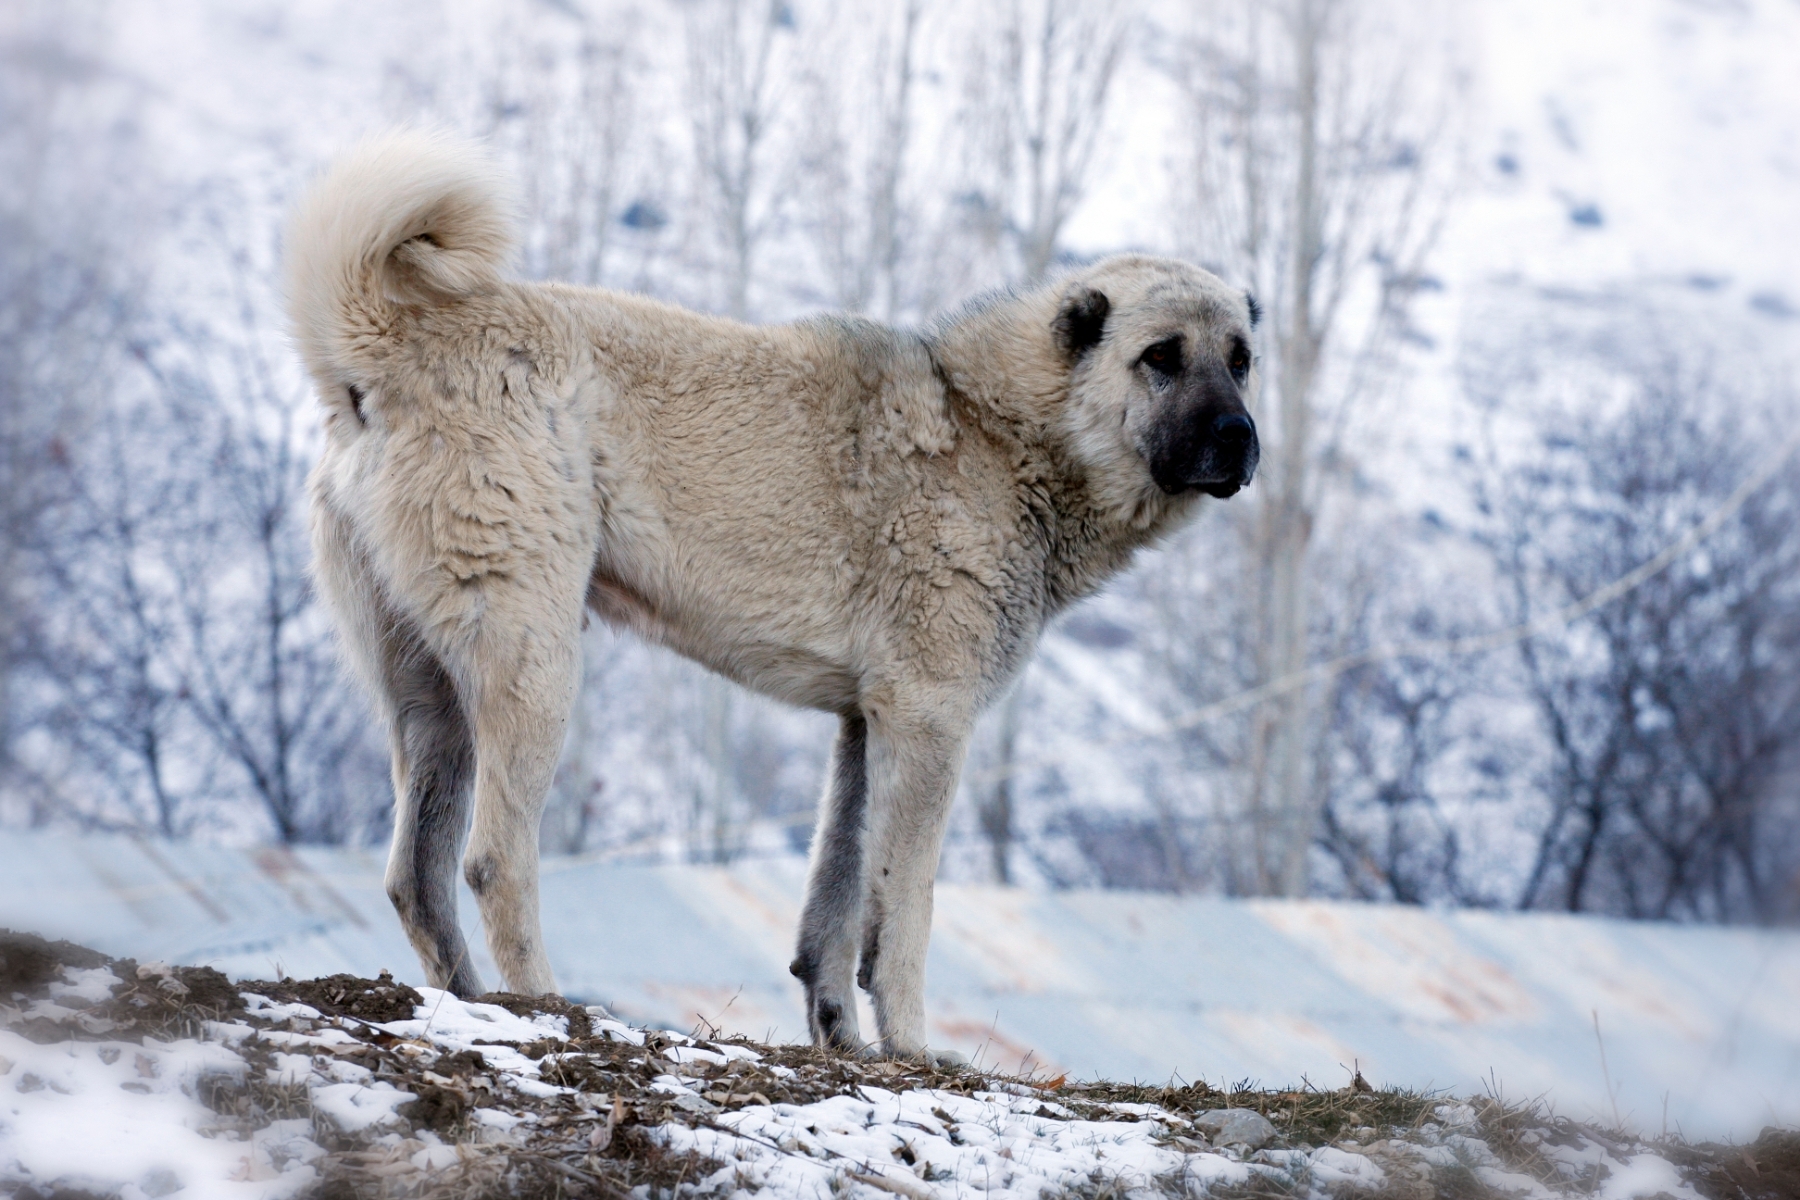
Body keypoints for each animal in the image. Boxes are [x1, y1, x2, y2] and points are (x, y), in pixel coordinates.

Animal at [288, 131, 1260, 1057]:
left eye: (1242, 361)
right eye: (1161, 358)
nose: (1240, 440)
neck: (999, 433)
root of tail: (388, 347)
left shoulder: (867, 723)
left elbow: (834, 906)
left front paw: (844, 1041)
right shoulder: (930, 719)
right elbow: (904, 911)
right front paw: (913, 1045)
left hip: (430, 695)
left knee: (415, 875)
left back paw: (468, 1003)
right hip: (532, 665)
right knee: (494, 859)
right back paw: (545, 1007)